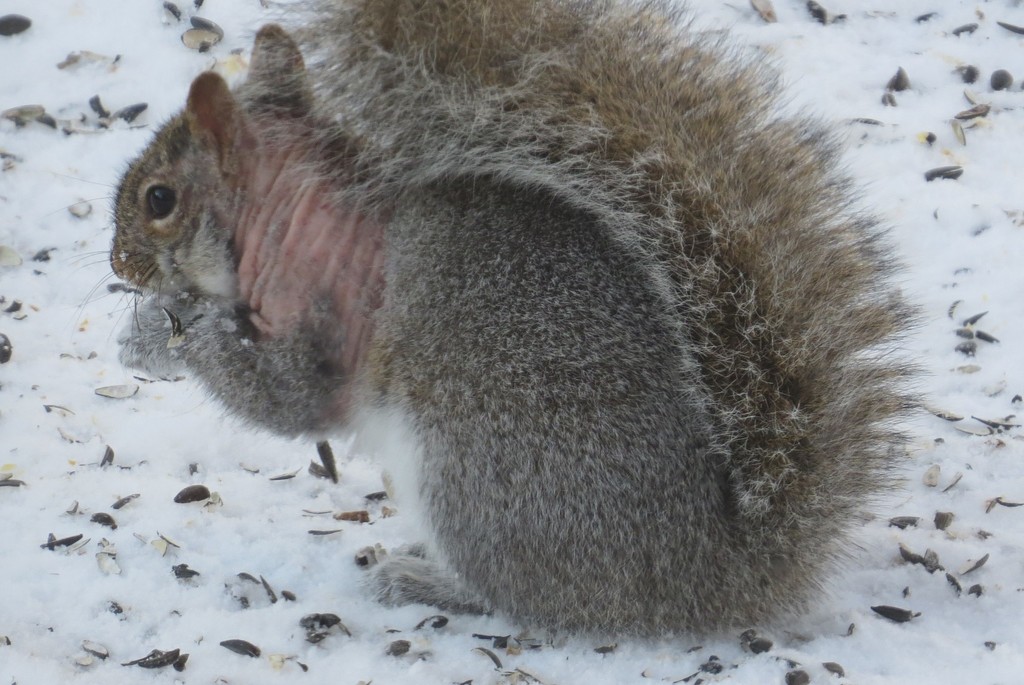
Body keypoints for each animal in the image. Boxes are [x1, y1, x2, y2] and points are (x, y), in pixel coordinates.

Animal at [111, 0, 915, 635]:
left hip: (482, 470)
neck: (283, 213)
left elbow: (281, 397)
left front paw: (163, 331)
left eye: (159, 199)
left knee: (519, 596)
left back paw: (423, 580)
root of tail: (716, 572)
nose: (118, 264)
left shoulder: (321, 319)